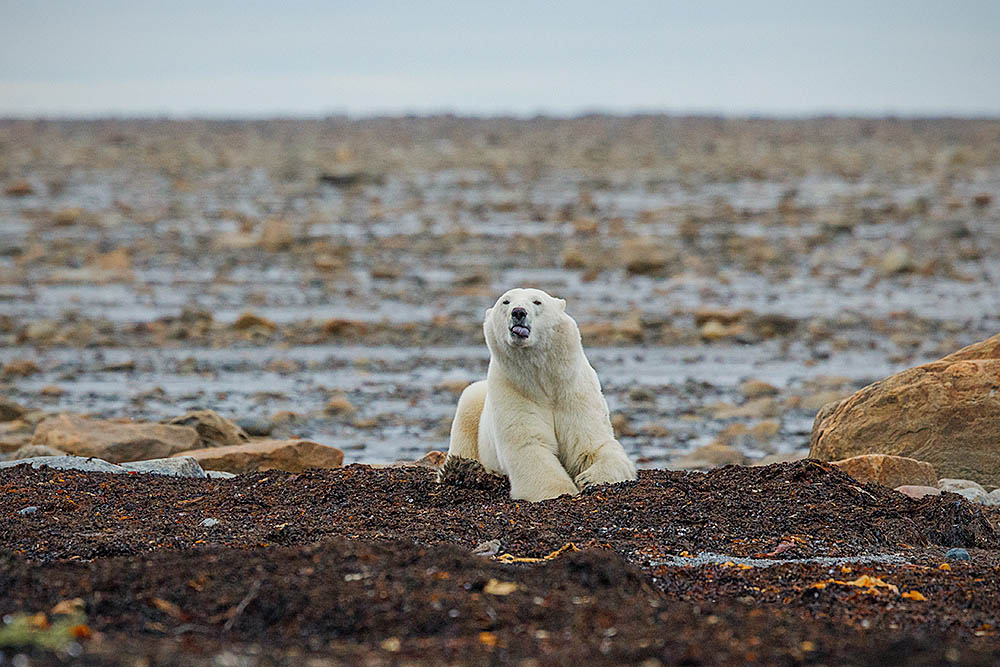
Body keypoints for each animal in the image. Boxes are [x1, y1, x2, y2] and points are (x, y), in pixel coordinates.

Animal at [444, 288, 632, 500]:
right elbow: (529, 446)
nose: (518, 312)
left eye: (537, 301)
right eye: (505, 302)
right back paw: (462, 467)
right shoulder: (513, 391)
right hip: (474, 404)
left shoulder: (576, 392)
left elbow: (592, 444)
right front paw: (560, 491)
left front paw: (588, 478)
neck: (546, 383)